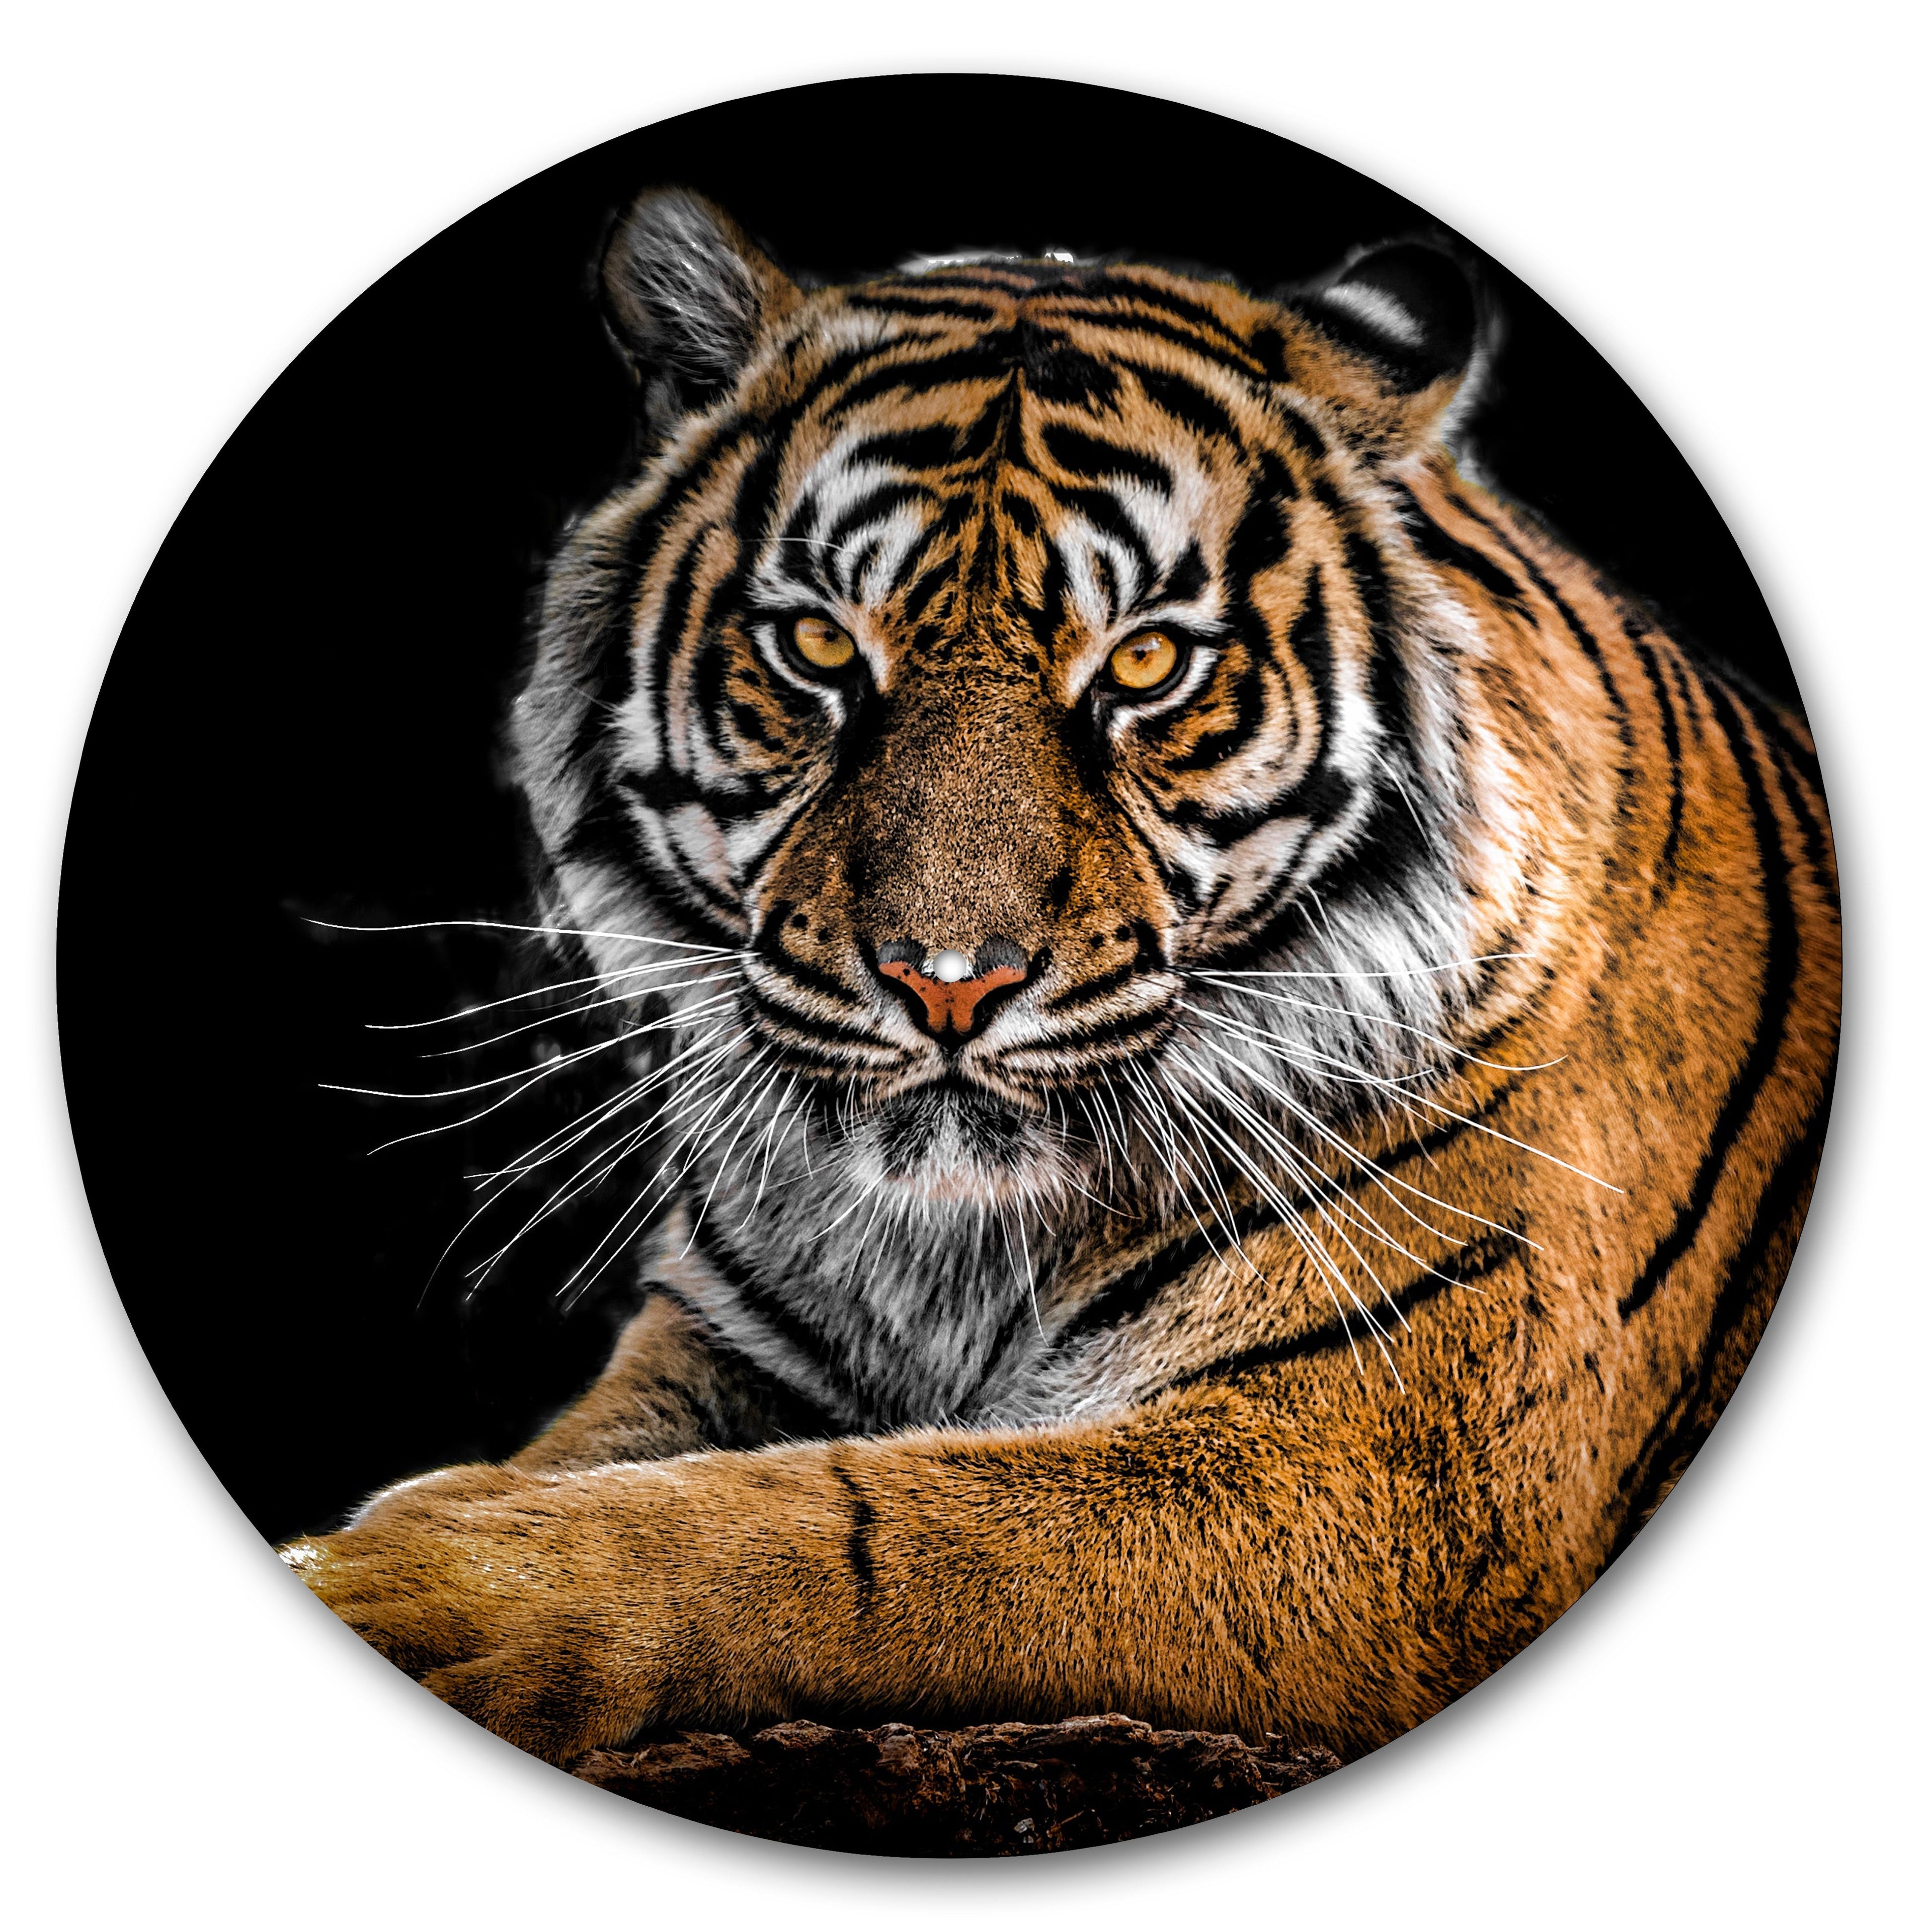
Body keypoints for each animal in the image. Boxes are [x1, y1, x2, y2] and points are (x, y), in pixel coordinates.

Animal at [285, 187, 1841, 1779]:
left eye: (1146, 662)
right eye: (819, 644)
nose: (945, 982)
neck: (953, 1250)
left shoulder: (1382, 1473)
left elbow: (857, 1527)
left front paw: (414, 1584)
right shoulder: (716, 1346)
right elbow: (610, 1461)